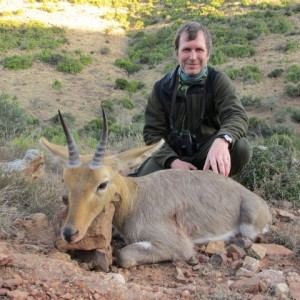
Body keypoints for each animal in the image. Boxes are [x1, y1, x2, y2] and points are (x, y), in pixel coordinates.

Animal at [41, 109, 274, 268]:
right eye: (66, 181)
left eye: (102, 183)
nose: (69, 233)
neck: (135, 198)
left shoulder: (178, 246)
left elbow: (124, 255)